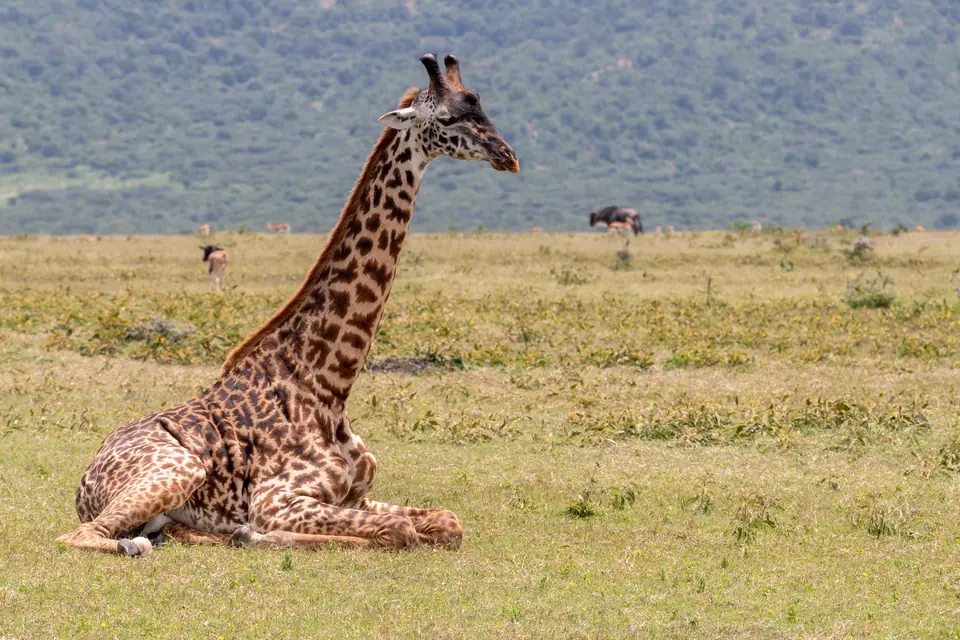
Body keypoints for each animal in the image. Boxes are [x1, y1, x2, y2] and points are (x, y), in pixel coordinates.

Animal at [57, 54, 519, 557]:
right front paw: (260, 533)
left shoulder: (357, 495)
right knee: (83, 536)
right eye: (448, 118)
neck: (328, 387)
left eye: (481, 104)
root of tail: (85, 478)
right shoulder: (278, 499)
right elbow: (397, 530)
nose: (507, 156)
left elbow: (447, 521)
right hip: (178, 470)